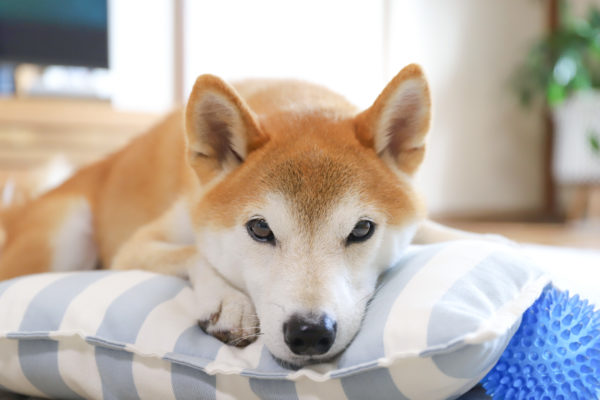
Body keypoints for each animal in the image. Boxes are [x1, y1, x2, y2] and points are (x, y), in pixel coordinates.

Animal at [0, 65, 478, 366]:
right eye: (260, 229)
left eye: (361, 230)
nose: (310, 333)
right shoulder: (134, 248)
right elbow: (196, 253)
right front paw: (229, 302)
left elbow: (442, 232)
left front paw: (484, 241)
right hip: (67, 234)